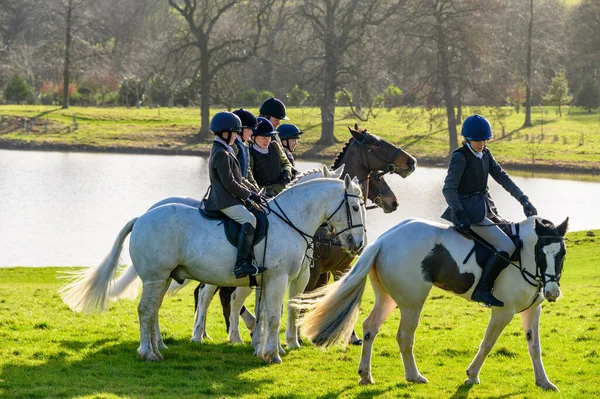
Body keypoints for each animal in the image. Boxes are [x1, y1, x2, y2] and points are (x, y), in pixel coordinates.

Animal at [62, 177, 370, 364]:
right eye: (356, 207)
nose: (358, 244)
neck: (290, 220)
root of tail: (141, 217)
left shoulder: (271, 280)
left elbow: (269, 314)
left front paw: (264, 349)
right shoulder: (279, 278)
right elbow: (272, 317)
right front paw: (273, 354)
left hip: (162, 278)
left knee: (153, 311)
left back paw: (158, 347)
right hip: (155, 277)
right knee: (146, 310)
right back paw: (148, 353)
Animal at [298, 216, 568, 390]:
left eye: (562, 253)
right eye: (541, 253)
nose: (552, 292)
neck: (525, 257)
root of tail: (384, 240)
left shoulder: (532, 310)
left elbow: (535, 347)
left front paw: (544, 382)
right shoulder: (504, 312)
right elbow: (488, 344)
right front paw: (472, 376)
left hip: (388, 299)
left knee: (369, 328)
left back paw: (366, 375)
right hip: (412, 302)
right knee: (404, 337)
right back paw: (414, 376)